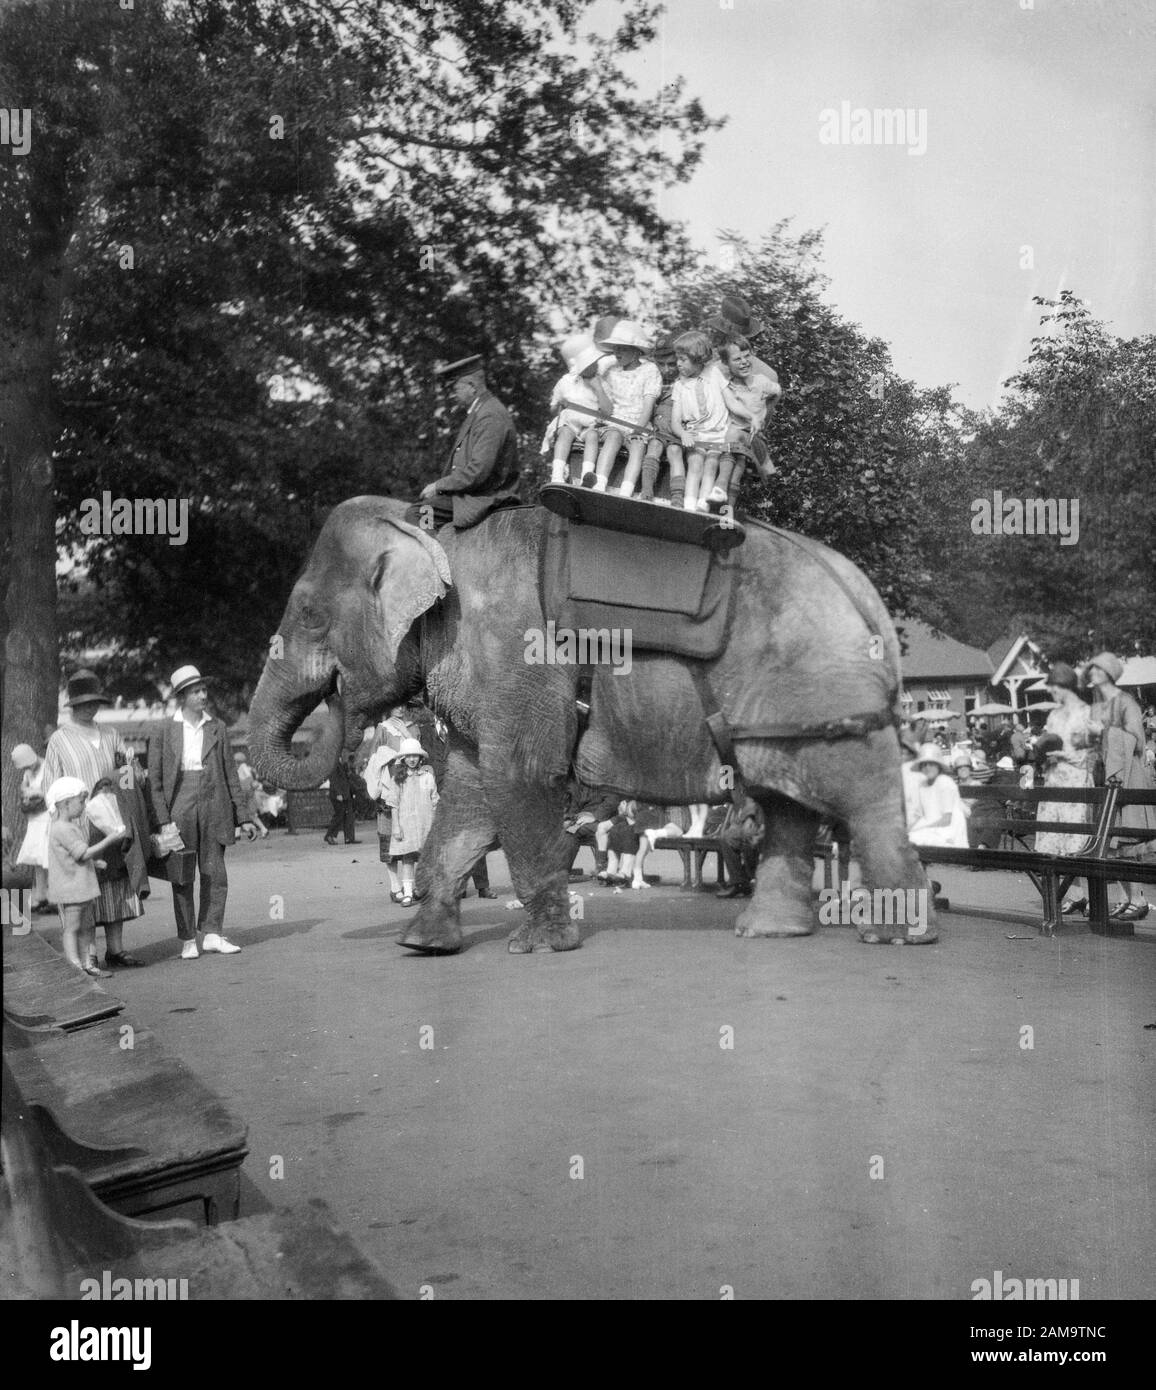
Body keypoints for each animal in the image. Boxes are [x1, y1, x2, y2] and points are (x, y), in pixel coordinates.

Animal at [248, 497, 933, 956]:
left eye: (308, 614)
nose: (343, 702)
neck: (432, 533)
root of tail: (865, 594)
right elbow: (468, 795)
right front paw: (423, 945)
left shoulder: (517, 657)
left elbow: (518, 776)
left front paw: (541, 946)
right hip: (783, 713)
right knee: (785, 800)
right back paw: (769, 932)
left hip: (820, 693)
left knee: (860, 798)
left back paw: (894, 936)